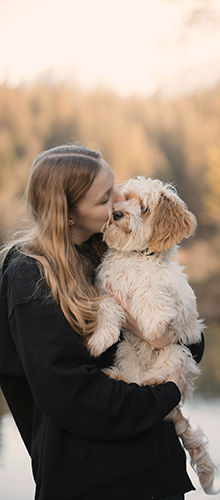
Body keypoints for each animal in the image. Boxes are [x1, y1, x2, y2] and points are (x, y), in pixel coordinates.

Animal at [87, 177, 218, 496]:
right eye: (123, 198)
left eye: (144, 208)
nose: (117, 213)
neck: (135, 258)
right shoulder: (107, 290)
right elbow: (107, 305)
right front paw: (100, 338)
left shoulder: (181, 308)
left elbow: (151, 289)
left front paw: (152, 321)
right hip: (126, 352)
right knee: (133, 381)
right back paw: (120, 377)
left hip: (178, 353)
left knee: (163, 378)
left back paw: (153, 380)